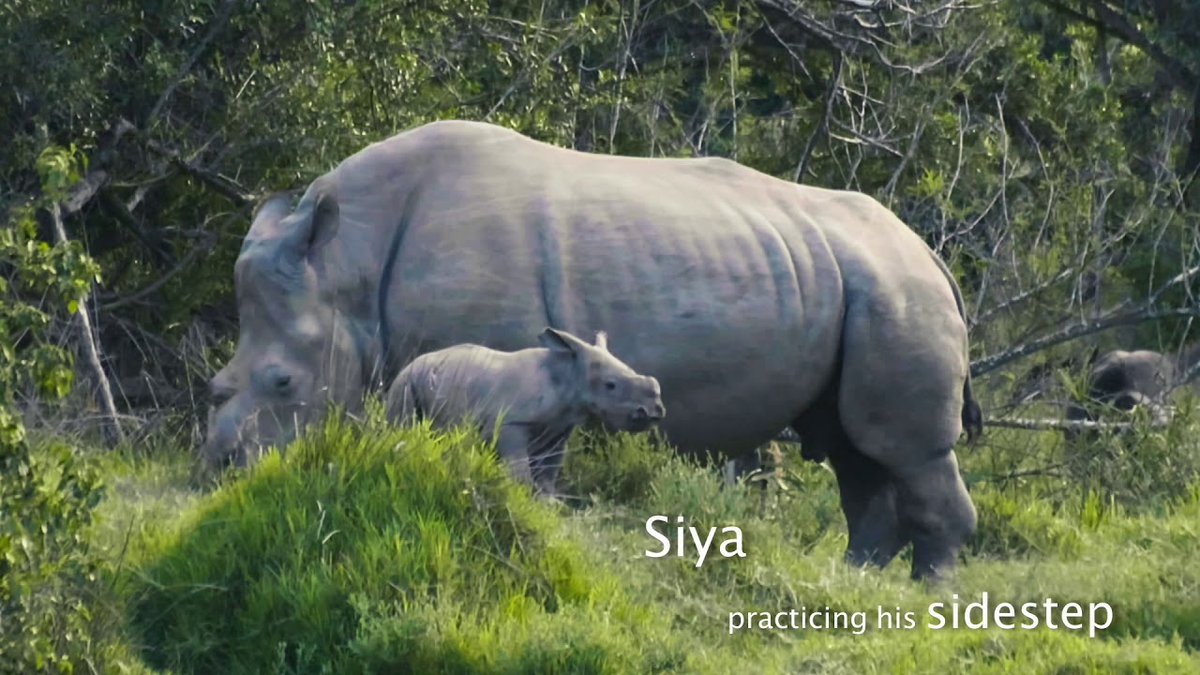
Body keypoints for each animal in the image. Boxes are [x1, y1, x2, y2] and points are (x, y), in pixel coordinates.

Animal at [385, 328, 664, 494]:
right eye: (610, 385)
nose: (654, 411)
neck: (568, 373)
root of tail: (410, 364)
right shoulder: (512, 421)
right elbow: (519, 466)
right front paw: (523, 495)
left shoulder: (559, 428)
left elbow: (549, 468)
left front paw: (550, 502)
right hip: (405, 381)